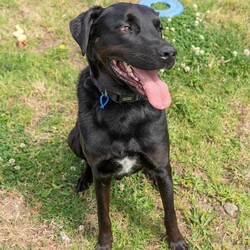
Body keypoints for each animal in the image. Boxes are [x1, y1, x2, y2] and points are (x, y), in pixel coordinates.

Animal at [67, 2, 188, 250]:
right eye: (125, 28)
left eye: (159, 29)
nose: (170, 53)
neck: (125, 109)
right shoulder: (103, 174)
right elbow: (103, 215)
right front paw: (104, 244)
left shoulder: (163, 166)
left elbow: (170, 212)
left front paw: (176, 241)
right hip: (73, 138)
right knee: (86, 162)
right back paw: (84, 178)